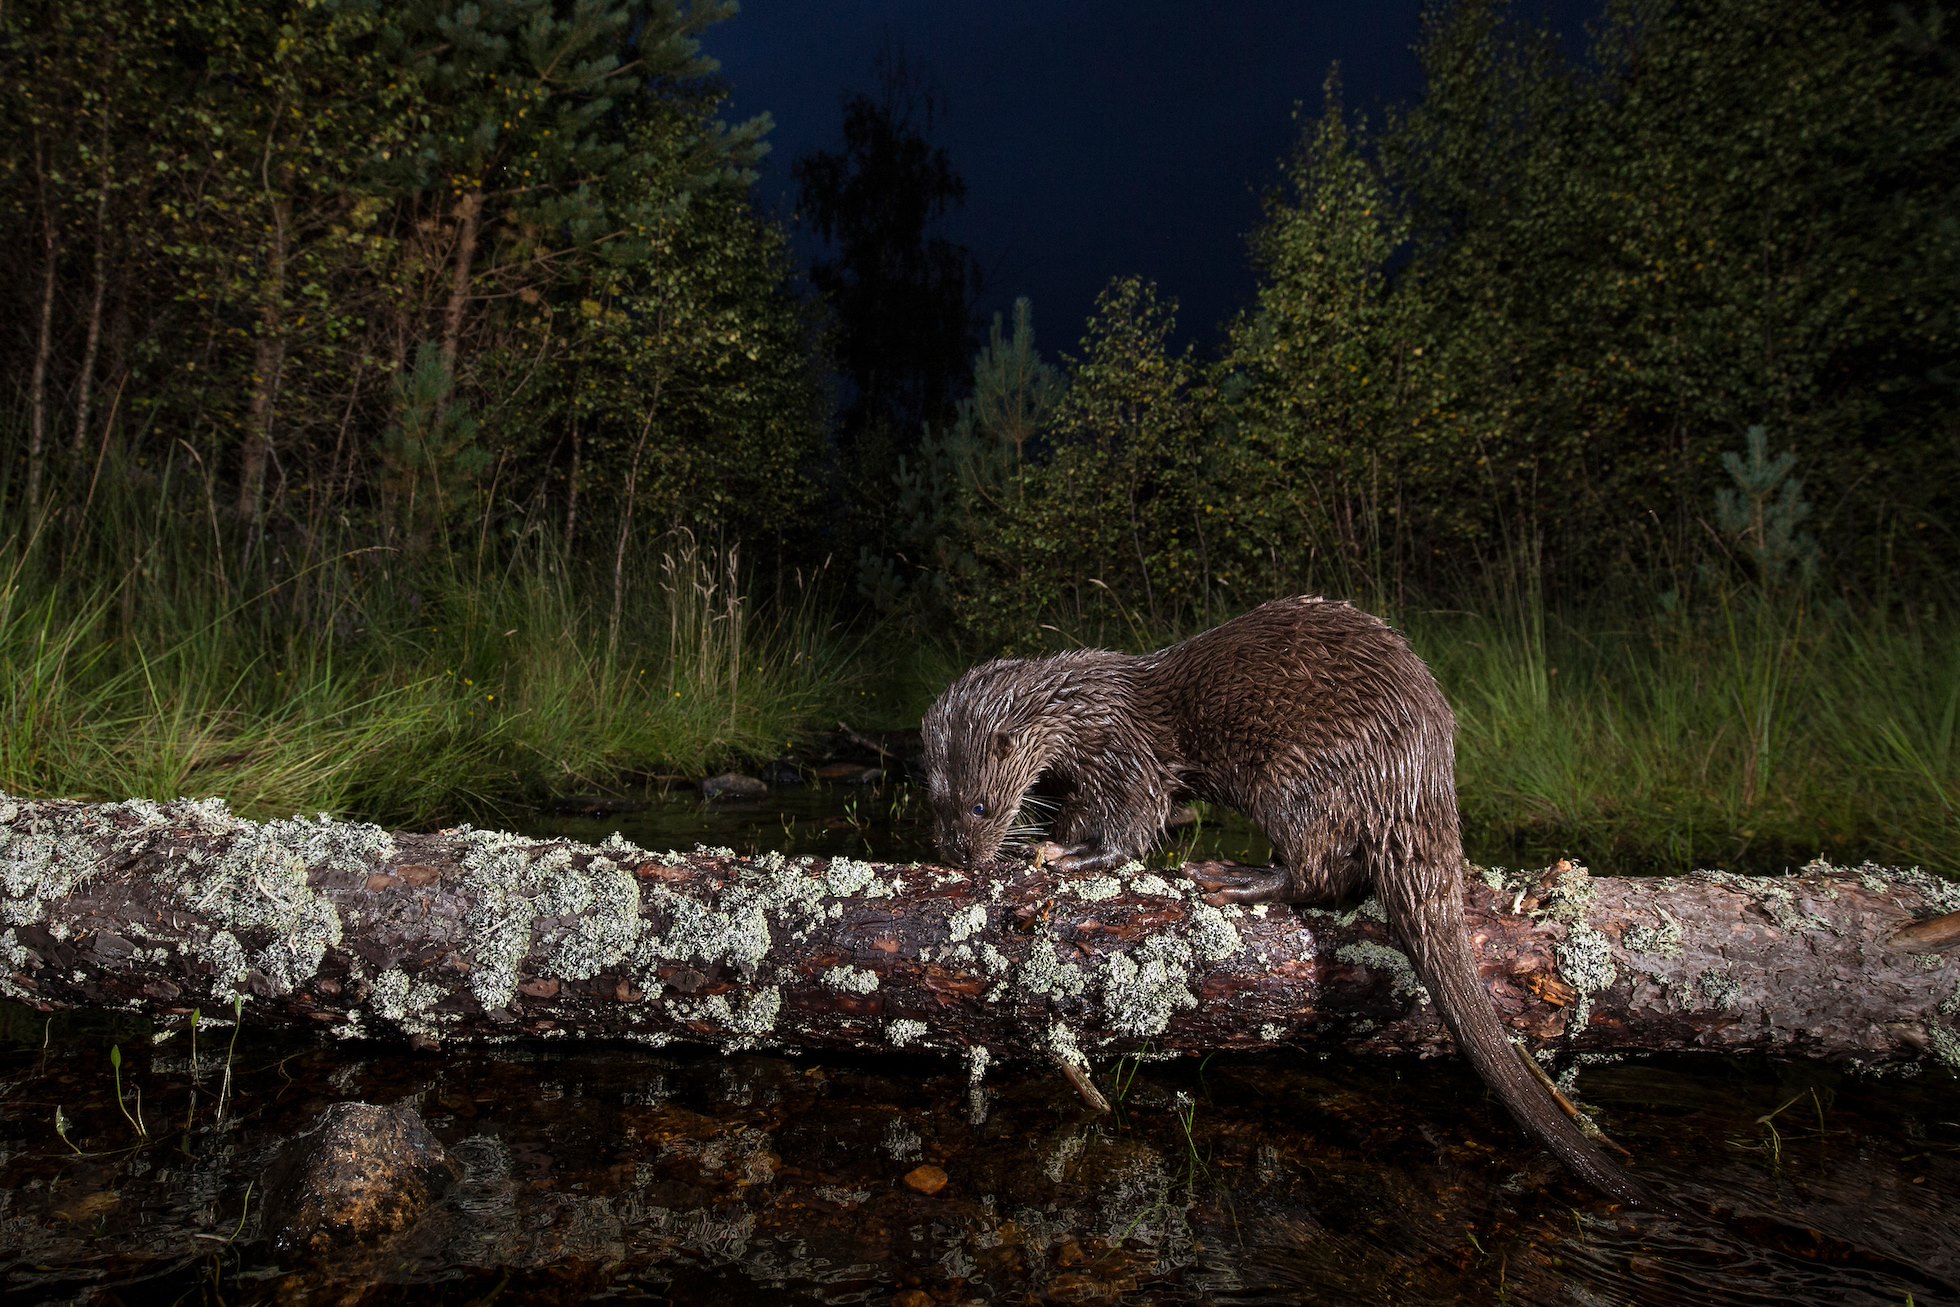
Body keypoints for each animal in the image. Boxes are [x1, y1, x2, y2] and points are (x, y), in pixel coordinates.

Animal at [921, 599, 1654, 1214]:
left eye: (981, 806)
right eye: (936, 803)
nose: (962, 855)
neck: (1085, 708)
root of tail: (1417, 771)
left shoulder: (1130, 756)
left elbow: (1132, 827)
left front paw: (1066, 856)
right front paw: (1049, 841)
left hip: (1294, 778)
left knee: (1317, 873)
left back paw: (1232, 876)